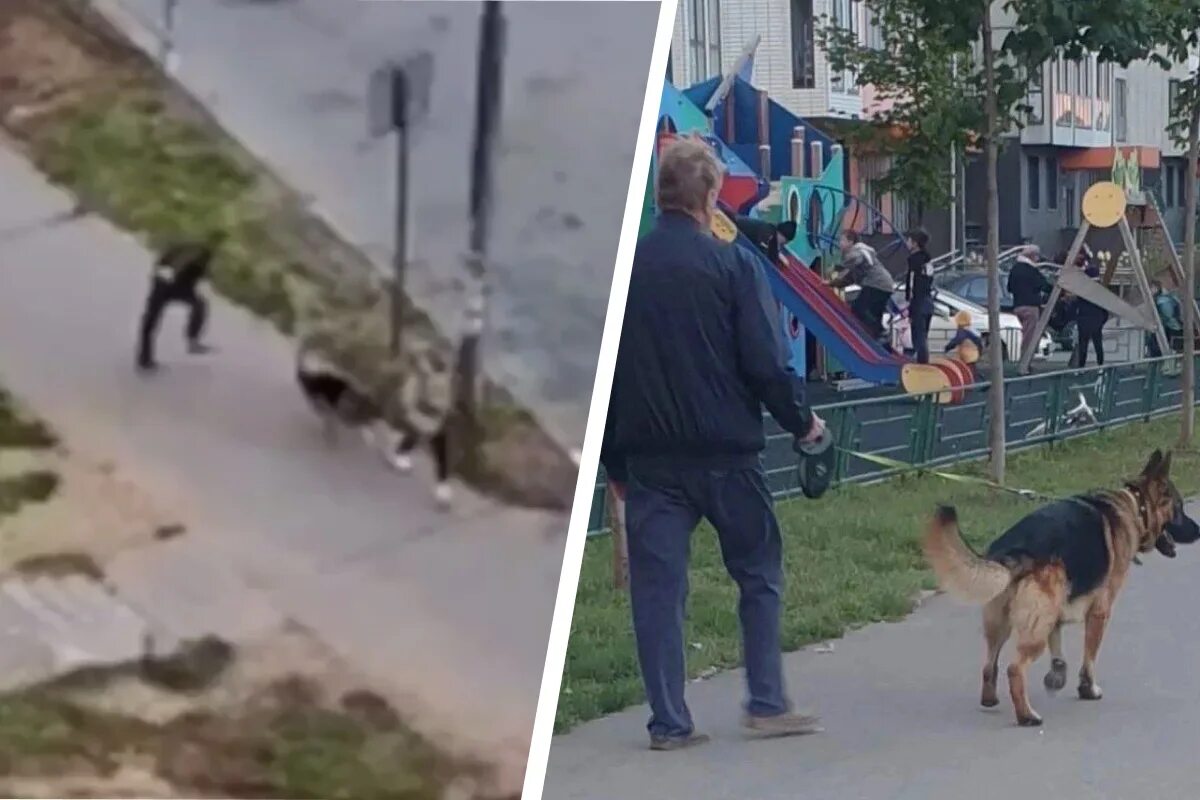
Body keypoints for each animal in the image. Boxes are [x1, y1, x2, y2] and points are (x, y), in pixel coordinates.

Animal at [921, 453, 1195, 729]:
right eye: (1180, 507)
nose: (1199, 532)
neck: (1135, 506)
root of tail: (1015, 550)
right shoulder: (1100, 613)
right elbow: (1089, 658)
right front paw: (1088, 689)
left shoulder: (1057, 609)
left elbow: (1058, 646)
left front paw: (1057, 673)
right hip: (1034, 628)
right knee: (1015, 668)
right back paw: (1027, 715)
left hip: (1004, 621)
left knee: (990, 665)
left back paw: (990, 699)